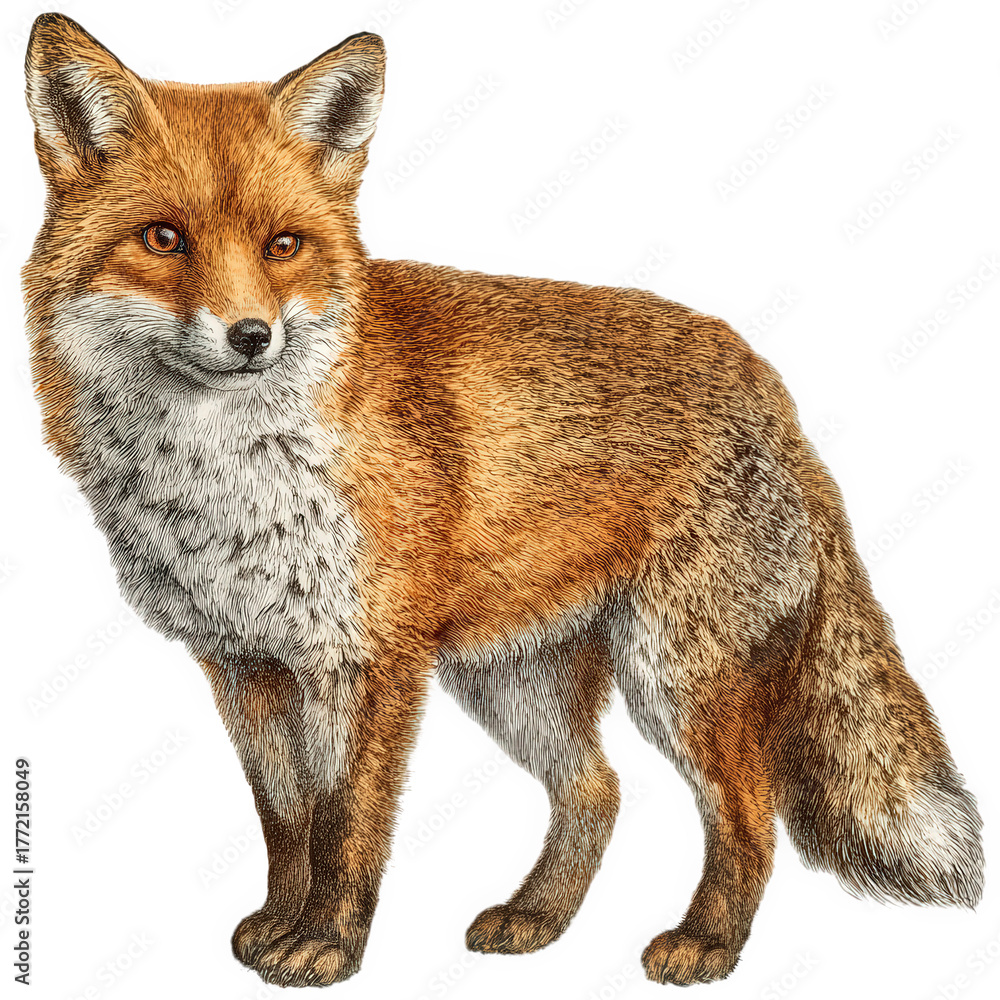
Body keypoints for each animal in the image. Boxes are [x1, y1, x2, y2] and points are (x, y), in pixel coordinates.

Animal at [23, 11, 983, 990]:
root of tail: (765, 380)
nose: (252, 335)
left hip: (675, 677)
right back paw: (538, 917)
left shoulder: (369, 662)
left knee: (750, 815)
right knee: (597, 789)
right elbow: (287, 822)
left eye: (282, 246)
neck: (224, 481)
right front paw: (277, 925)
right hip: (516, 681)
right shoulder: (243, 661)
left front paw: (326, 943)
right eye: (163, 239)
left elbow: (347, 826)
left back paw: (708, 943)